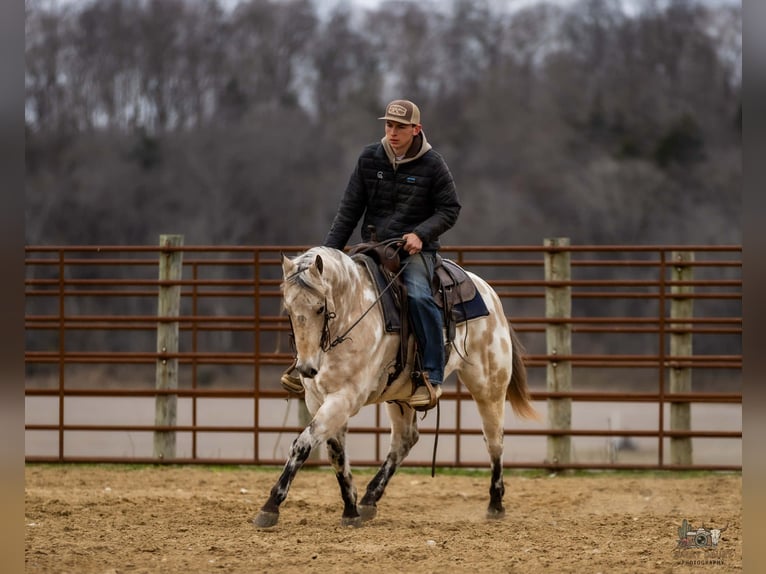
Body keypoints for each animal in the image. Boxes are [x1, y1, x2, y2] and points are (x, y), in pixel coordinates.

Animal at [252, 245, 538, 528]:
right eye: (289, 308)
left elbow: (302, 444)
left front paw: (270, 506)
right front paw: (351, 510)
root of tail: (489, 294)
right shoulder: (319, 400)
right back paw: (369, 498)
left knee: (494, 440)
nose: (306, 367)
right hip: (401, 396)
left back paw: (495, 505)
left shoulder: (344, 398)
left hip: (489, 386)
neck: (352, 313)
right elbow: (336, 454)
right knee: (404, 439)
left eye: (320, 307)